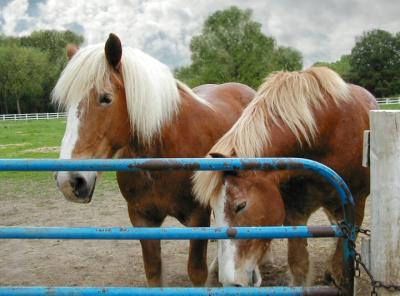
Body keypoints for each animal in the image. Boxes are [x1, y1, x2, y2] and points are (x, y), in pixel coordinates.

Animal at [53, 34, 255, 286]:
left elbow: (196, 271)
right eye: (67, 104)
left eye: (105, 98)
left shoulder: (198, 217)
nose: (70, 181)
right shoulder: (141, 218)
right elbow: (153, 270)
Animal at [192, 66, 376, 286]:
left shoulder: (354, 204)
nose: (230, 283)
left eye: (240, 205)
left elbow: (342, 262)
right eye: (213, 211)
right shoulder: (294, 211)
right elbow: (298, 266)